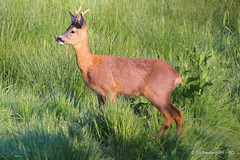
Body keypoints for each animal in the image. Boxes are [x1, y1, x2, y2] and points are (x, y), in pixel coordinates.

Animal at [56, 5, 183, 136]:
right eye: (67, 28)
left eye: (73, 31)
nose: (58, 38)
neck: (90, 65)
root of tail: (177, 77)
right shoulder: (99, 93)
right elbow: (99, 113)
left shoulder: (110, 89)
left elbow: (109, 111)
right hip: (163, 94)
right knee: (178, 113)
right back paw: (176, 138)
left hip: (157, 92)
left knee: (170, 115)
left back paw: (157, 137)